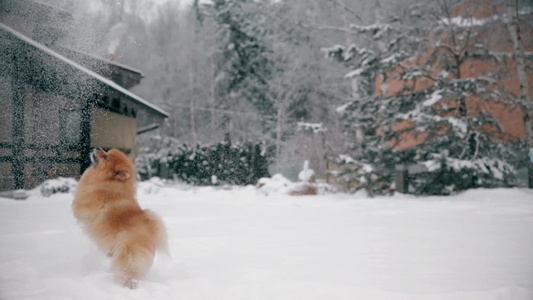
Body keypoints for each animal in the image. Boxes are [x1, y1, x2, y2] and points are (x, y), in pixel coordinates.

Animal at [71, 148, 166, 288]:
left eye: (105, 157)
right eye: (107, 152)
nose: (97, 148)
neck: (108, 184)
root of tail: (151, 237)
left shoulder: (83, 206)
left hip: (127, 259)